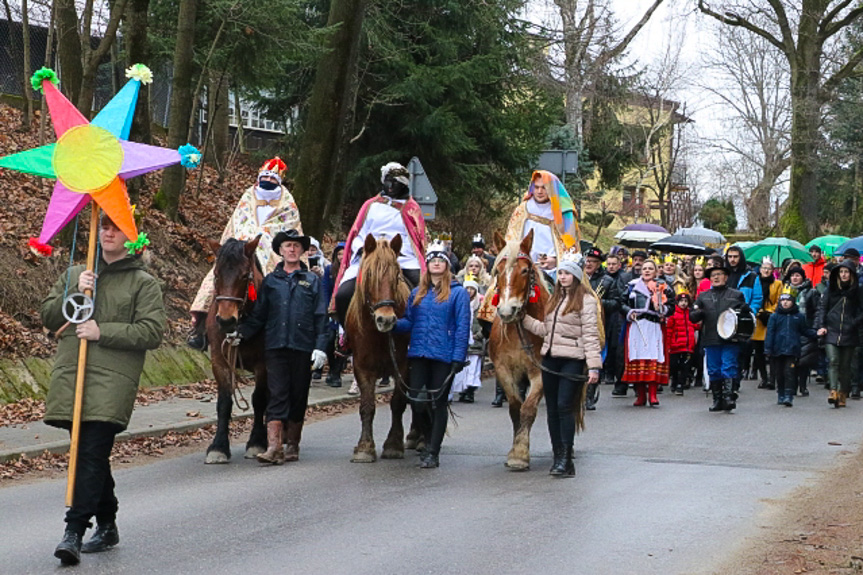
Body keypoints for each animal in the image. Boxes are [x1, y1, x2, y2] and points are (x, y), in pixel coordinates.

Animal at [203, 236, 268, 466]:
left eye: (244, 276)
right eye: (216, 274)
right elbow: (224, 402)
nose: (225, 320)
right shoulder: (219, 361)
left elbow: (259, 400)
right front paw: (218, 447)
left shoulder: (264, 364)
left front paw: (257, 442)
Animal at [344, 234, 412, 464]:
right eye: (370, 274)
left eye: (397, 276)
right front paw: (365, 447)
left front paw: (393, 444)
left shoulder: (403, 367)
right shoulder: (363, 367)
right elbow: (367, 406)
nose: (386, 319)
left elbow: (398, 403)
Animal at [492, 230, 588, 472]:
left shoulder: (541, 373)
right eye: (498, 270)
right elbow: (515, 407)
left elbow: (528, 409)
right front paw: (516, 450)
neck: (518, 331)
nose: (507, 310)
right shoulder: (503, 370)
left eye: (525, 270)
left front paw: (520, 454)